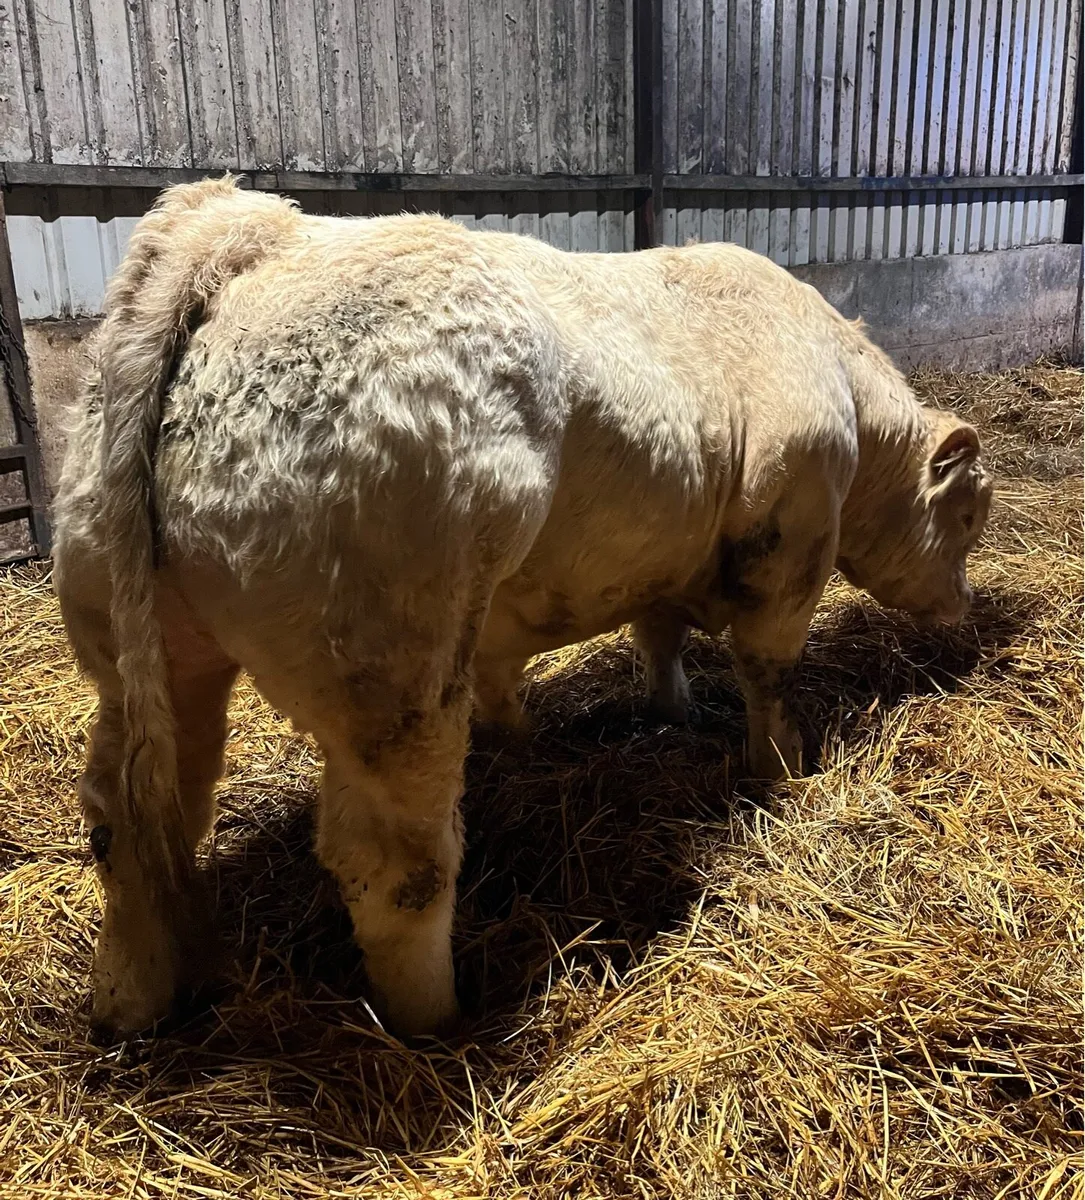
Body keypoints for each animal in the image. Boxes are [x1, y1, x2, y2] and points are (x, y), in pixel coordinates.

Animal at [52, 178, 992, 1041]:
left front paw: (651, 712)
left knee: (134, 818)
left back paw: (129, 999)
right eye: (970, 515)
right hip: (392, 673)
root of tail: (254, 233)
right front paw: (784, 765)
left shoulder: (661, 558)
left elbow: (654, 637)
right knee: (394, 864)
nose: (964, 610)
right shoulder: (787, 544)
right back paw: (437, 1020)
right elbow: (768, 670)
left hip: (142, 651)